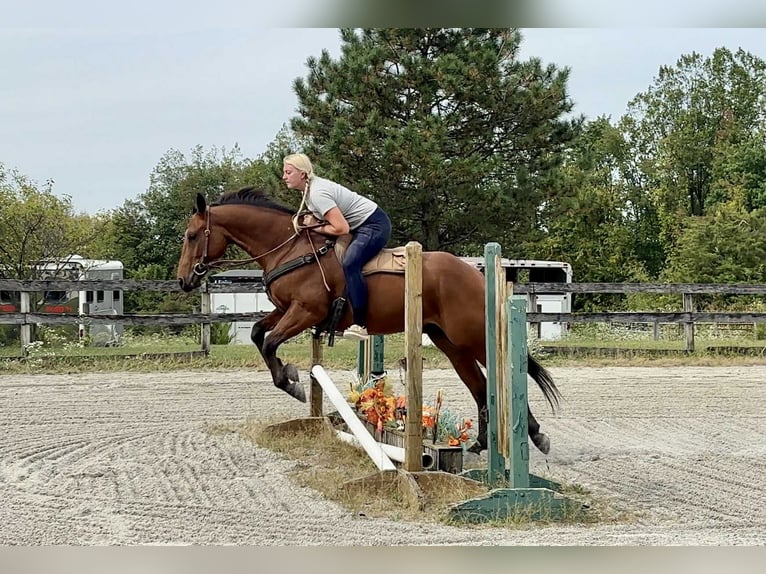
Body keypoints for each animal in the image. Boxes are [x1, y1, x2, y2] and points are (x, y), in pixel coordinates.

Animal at [176, 187, 562, 454]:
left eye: (192, 236)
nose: (184, 280)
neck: (289, 249)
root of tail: (477, 274)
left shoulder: (305, 312)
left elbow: (270, 342)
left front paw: (291, 382)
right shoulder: (286, 309)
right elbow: (259, 333)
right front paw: (290, 378)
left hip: (473, 336)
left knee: (504, 374)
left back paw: (534, 434)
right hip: (449, 342)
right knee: (480, 386)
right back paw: (481, 444)